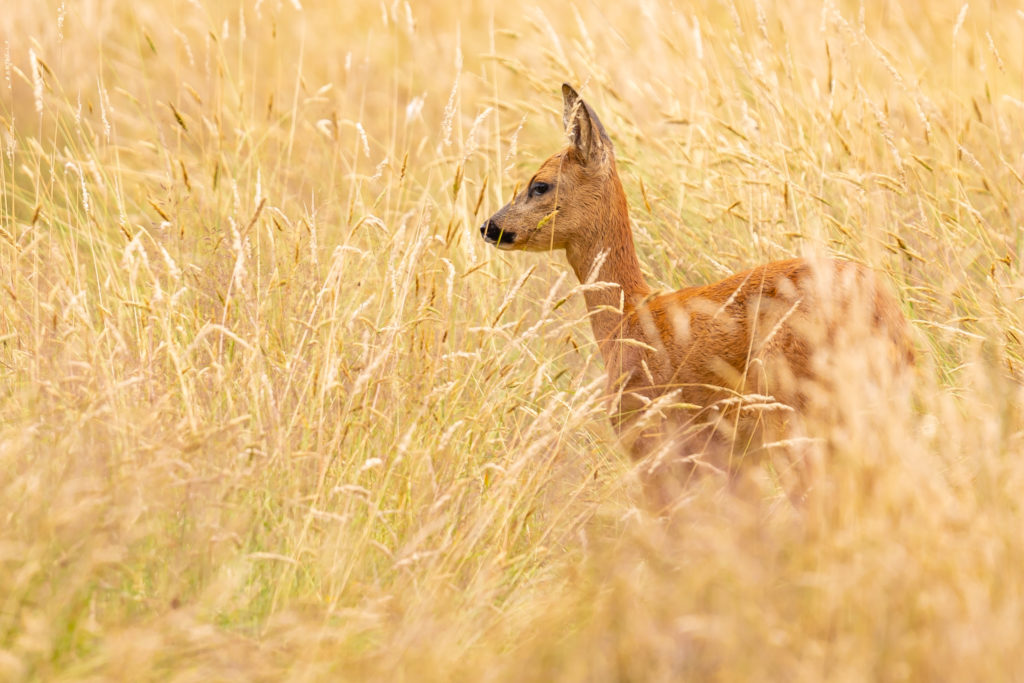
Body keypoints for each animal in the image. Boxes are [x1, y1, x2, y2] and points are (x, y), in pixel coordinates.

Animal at [477, 82, 913, 505]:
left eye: (539, 185)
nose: (489, 226)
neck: (625, 321)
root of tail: (882, 311)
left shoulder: (651, 439)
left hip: (798, 411)